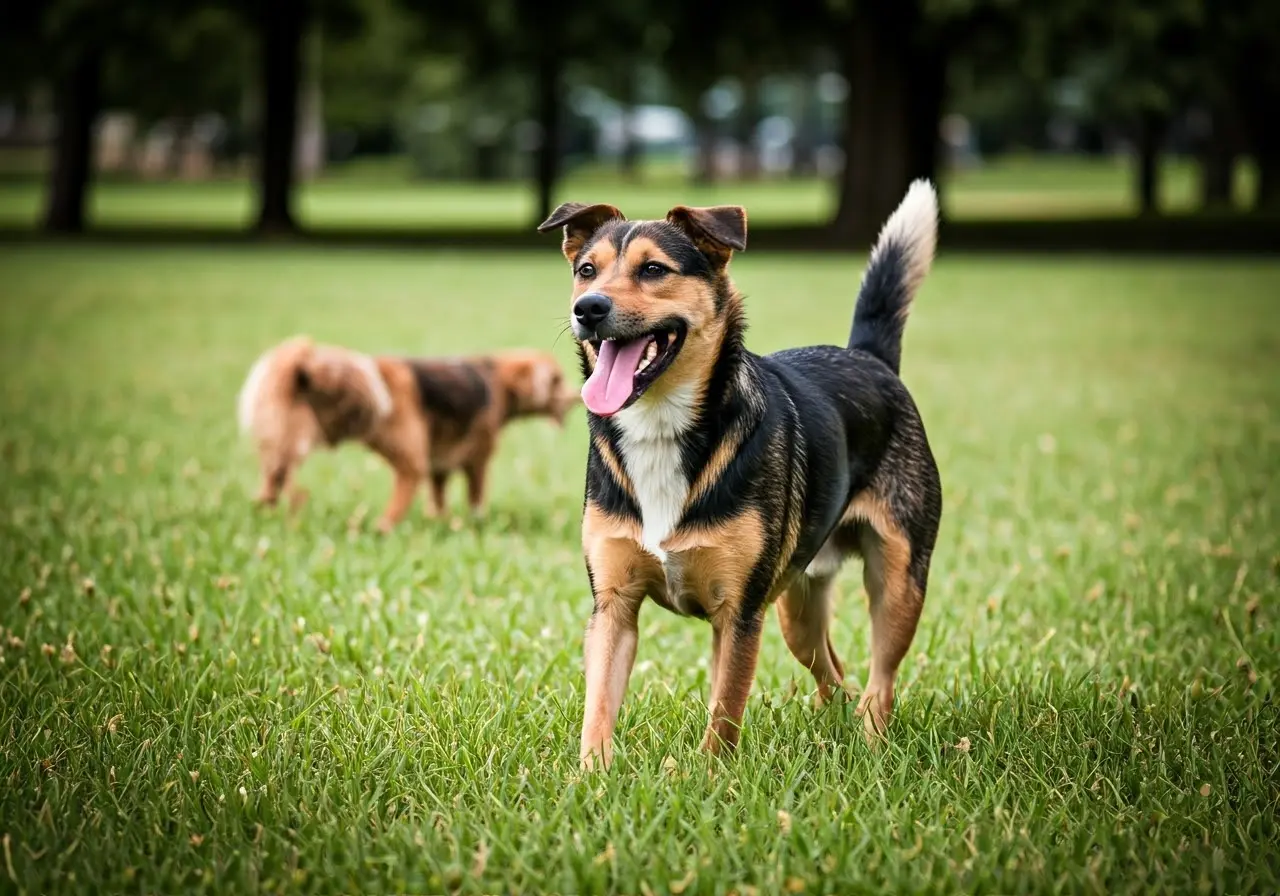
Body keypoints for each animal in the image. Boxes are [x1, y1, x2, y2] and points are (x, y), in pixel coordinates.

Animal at [535, 180, 947, 762]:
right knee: (833, 671)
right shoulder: (614, 607)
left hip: (899, 583)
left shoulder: (739, 614)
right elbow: (598, 710)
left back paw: (870, 744)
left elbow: (725, 712)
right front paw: (591, 776)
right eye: (587, 270)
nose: (587, 308)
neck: (660, 426)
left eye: (654, 269)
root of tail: (869, 357)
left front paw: (710, 777)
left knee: (880, 679)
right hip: (797, 606)